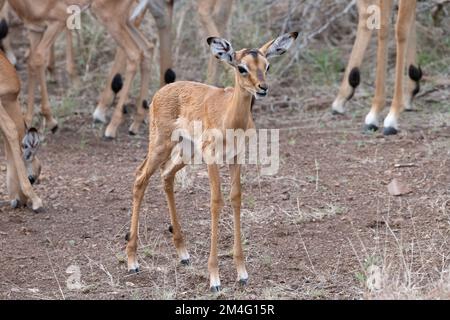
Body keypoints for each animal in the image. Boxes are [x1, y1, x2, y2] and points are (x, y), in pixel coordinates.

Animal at [125, 31, 298, 292]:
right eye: (241, 67)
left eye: (267, 65)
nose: (263, 88)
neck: (230, 117)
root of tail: (159, 94)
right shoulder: (212, 158)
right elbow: (216, 202)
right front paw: (214, 278)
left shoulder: (236, 158)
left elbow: (236, 198)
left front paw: (242, 273)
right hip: (160, 146)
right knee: (139, 178)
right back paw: (132, 261)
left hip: (186, 152)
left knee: (166, 175)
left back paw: (183, 253)